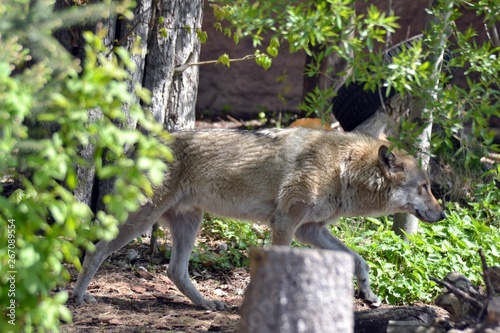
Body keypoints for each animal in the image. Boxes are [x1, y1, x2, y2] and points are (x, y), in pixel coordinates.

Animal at [71, 127, 446, 308]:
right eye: (425, 186)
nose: (443, 214)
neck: (344, 168)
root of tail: (141, 142)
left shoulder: (310, 230)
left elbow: (358, 260)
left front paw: (368, 295)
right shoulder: (286, 225)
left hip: (190, 223)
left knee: (175, 271)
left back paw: (207, 304)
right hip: (141, 219)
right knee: (96, 250)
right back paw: (78, 297)